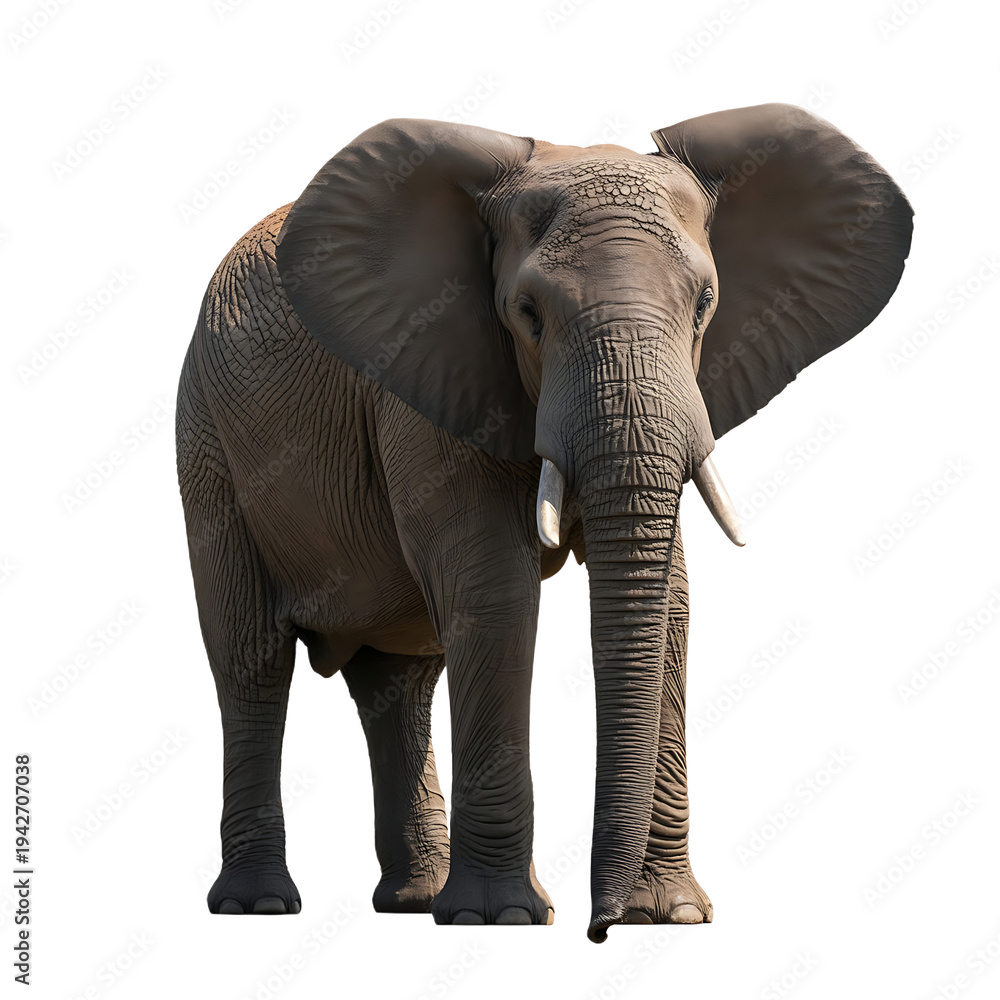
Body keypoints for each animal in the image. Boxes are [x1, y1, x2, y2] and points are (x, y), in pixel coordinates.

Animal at [176, 103, 912, 942]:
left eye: (704, 306)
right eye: (527, 314)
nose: (602, 925)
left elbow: (673, 600)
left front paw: (671, 916)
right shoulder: (429, 372)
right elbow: (494, 591)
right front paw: (499, 918)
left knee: (397, 680)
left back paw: (412, 901)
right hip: (208, 444)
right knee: (251, 662)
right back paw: (260, 904)